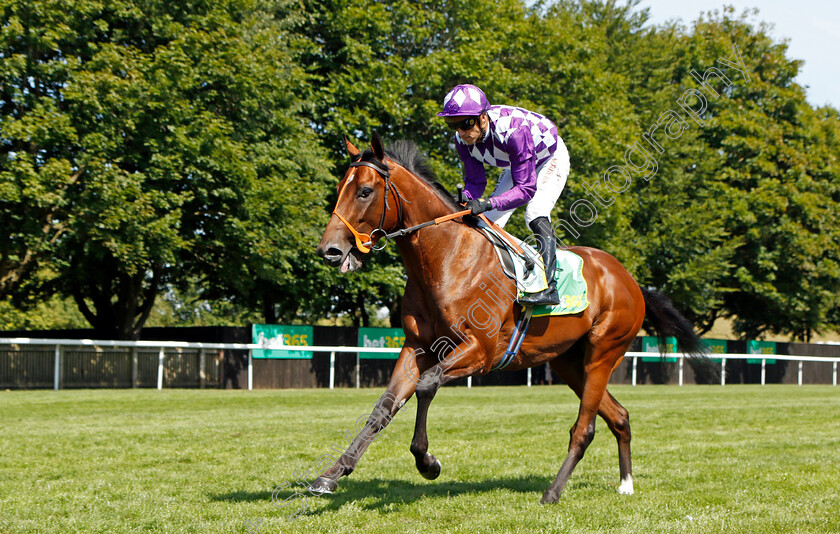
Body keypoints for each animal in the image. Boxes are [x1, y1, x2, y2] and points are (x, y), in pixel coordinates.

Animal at [312, 133, 700, 502]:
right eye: (339, 188)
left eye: (365, 191)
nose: (329, 250)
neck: (448, 258)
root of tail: (630, 280)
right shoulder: (416, 347)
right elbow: (384, 407)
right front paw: (330, 475)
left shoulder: (481, 351)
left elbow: (427, 385)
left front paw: (427, 462)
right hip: (569, 363)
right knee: (618, 416)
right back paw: (625, 484)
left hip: (603, 353)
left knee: (584, 428)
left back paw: (552, 492)